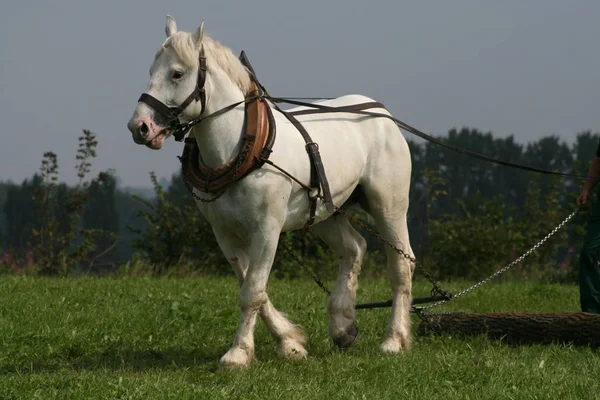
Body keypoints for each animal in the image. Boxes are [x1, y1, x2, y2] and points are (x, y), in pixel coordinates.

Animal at [126, 17, 414, 370]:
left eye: (177, 74)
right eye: (152, 70)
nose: (139, 127)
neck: (241, 150)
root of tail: (381, 112)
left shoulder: (267, 230)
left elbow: (252, 291)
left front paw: (237, 354)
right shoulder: (225, 235)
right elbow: (253, 288)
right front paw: (290, 343)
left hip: (389, 206)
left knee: (401, 264)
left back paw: (394, 340)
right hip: (325, 213)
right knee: (354, 249)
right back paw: (342, 325)